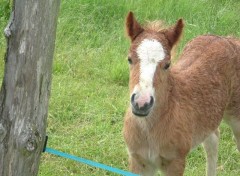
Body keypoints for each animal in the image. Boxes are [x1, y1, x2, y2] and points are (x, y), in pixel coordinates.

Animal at [124, 11, 240, 175]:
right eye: (129, 59)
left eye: (167, 64)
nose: (141, 103)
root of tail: (228, 39)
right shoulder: (139, 160)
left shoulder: (175, 161)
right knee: (212, 139)